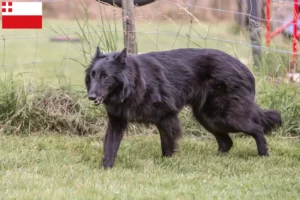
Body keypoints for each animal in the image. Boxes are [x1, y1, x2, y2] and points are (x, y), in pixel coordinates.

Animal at [85, 46, 282, 167]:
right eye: (93, 75)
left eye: (105, 76)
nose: (91, 96)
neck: (135, 83)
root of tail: (245, 69)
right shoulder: (117, 121)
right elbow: (110, 146)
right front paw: (106, 168)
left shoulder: (166, 116)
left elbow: (167, 144)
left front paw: (167, 162)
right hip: (207, 117)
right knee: (227, 142)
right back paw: (216, 158)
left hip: (226, 116)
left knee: (257, 128)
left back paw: (263, 154)